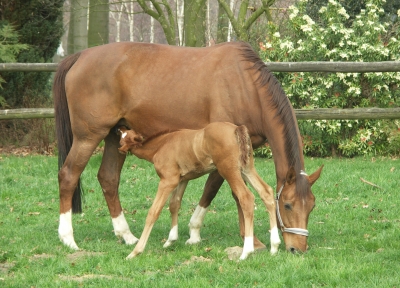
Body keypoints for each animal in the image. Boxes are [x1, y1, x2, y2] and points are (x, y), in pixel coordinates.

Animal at [54, 41, 322, 254]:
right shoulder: (222, 153)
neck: (244, 86)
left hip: (114, 136)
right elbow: (226, 191)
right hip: (88, 137)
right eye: (287, 205)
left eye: (311, 206)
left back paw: (127, 235)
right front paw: (247, 240)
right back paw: (68, 239)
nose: (298, 249)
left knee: (108, 178)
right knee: (69, 175)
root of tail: (80, 56)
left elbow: (217, 190)